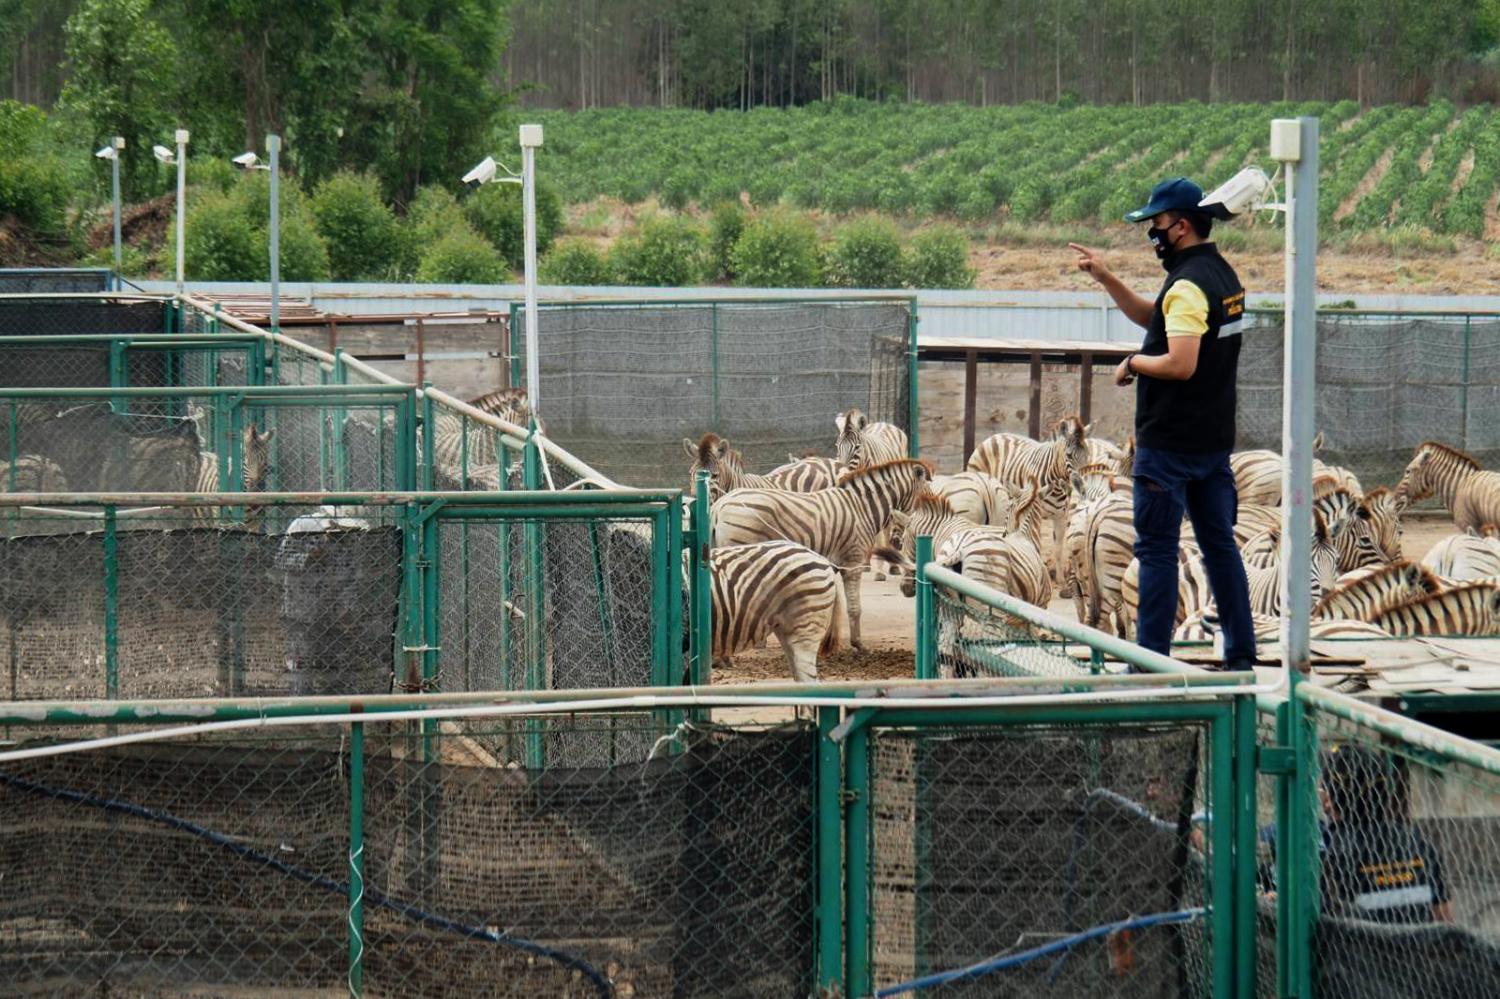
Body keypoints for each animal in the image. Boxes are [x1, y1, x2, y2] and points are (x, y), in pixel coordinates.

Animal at [708, 456, 930, 651]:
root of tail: (720, 505)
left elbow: (833, 605)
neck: (861, 507)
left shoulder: (835, 563)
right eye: (927, 495)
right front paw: (858, 645)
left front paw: (829, 644)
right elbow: (854, 607)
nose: (896, 541)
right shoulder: (853, 561)